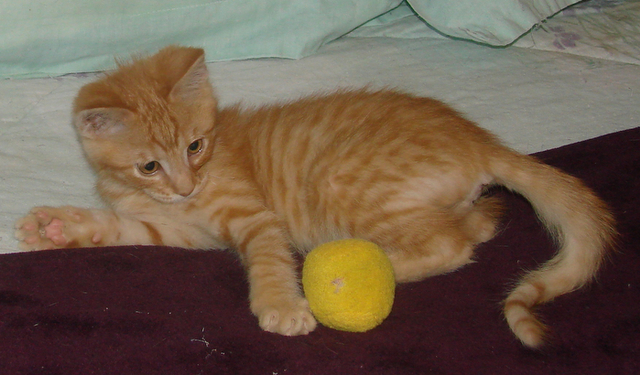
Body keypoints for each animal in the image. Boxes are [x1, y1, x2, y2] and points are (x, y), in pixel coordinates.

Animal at [13, 45, 616, 348]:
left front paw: (282, 305)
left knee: (450, 244)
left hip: (338, 179)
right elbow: (120, 228)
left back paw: (350, 271)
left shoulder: (253, 217)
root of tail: (479, 138)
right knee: (476, 223)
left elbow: (267, 259)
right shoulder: (173, 229)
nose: (186, 185)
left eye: (196, 145)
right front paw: (56, 226)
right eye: (150, 165)